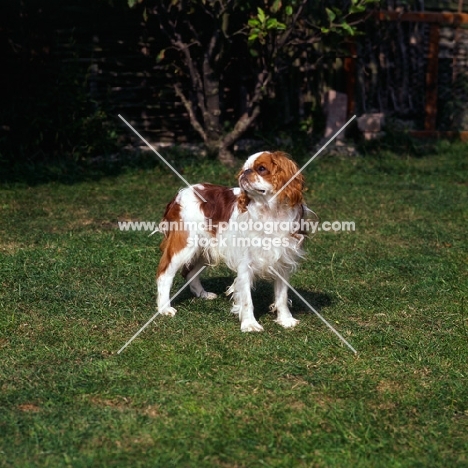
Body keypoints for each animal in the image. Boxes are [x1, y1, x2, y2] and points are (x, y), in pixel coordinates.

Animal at [155, 152, 308, 330]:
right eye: (244, 168)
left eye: (261, 169)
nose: (245, 172)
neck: (269, 211)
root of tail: (180, 194)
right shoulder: (245, 262)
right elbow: (247, 299)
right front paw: (249, 324)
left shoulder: (282, 261)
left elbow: (282, 296)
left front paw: (285, 320)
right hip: (185, 246)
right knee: (164, 274)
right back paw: (164, 308)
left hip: (205, 249)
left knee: (190, 272)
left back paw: (203, 295)